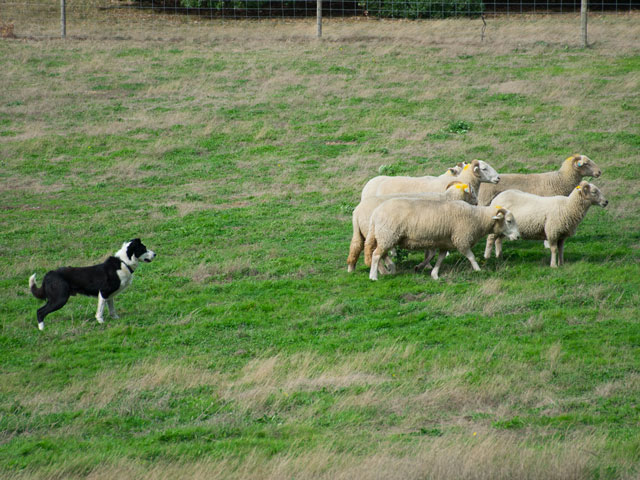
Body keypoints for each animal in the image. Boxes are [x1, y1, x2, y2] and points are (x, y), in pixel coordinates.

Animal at [28, 239, 156, 330]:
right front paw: (101, 322)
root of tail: (49, 274)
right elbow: (100, 310)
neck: (124, 262)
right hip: (59, 299)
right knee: (40, 311)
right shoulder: (103, 292)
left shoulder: (110, 296)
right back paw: (42, 329)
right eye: (144, 249)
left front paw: (116, 319)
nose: (155, 254)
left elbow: (112, 309)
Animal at [348, 181, 478, 272]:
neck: (447, 198)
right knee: (373, 252)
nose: (477, 203)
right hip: (380, 233)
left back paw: (351, 268)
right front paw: (425, 266)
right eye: (473, 192)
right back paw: (385, 269)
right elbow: (430, 253)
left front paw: (425, 265)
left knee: (356, 247)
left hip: (362, 233)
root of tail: (357, 212)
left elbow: (429, 252)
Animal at [364, 200, 520, 282]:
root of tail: (375, 213)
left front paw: (434, 274)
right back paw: (373, 276)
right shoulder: (461, 239)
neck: (477, 218)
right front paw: (478, 269)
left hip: (385, 237)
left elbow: (439, 258)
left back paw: (389, 269)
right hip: (387, 235)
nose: (518, 237)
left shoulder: (445, 243)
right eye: (509, 221)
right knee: (376, 255)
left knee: (380, 254)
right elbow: (471, 256)